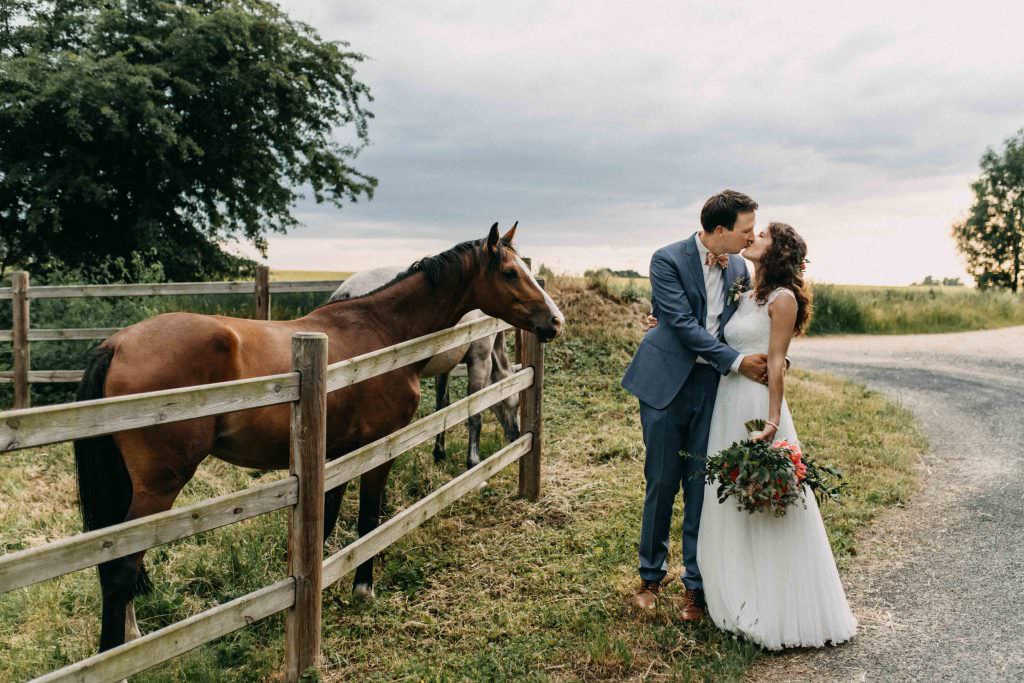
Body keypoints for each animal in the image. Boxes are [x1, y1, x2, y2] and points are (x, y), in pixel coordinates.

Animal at [74, 223, 565, 651]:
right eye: (510, 272)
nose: (555, 321)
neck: (382, 331)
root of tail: (116, 344)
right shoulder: (375, 450)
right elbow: (368, 519)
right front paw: (363, 589)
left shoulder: (338, 453)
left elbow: (326, 522)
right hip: (158, 487)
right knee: (120, 567)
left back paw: (131, 634)